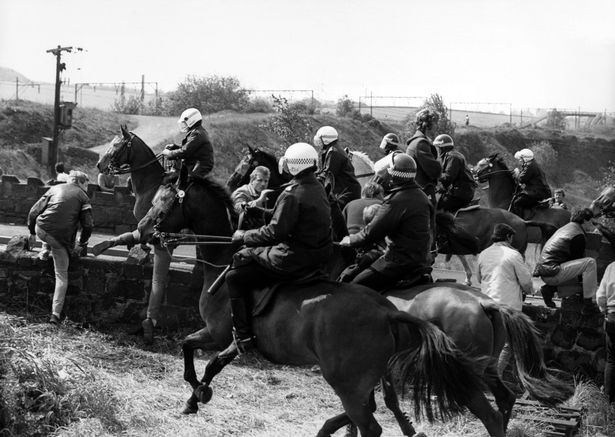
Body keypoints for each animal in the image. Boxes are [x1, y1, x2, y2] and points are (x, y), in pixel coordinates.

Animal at [136, 180, 490, 436]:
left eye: (163, 203)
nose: (142, 230)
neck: (225, 260)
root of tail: (387, 311)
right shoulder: (230, 338)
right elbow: (202, 357)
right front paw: (195, 397)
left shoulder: (221, 332)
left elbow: (198, 355)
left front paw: (197, 394)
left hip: (347, 381)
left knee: (371, 422)